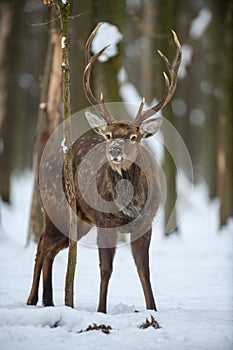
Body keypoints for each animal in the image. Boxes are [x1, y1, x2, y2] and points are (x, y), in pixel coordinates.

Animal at [26, 24, 181, 314]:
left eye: (134, 136)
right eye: (108, 135)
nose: (115, 151)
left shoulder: (146, 222)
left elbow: (144, 270)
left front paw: (153, 310)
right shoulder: (104, 222)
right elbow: (105, 269)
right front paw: (101, 310)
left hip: (78, 221)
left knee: (52, 248)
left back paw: (49, 301)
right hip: (55, 207)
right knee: (42, 245)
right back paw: (32, 299)